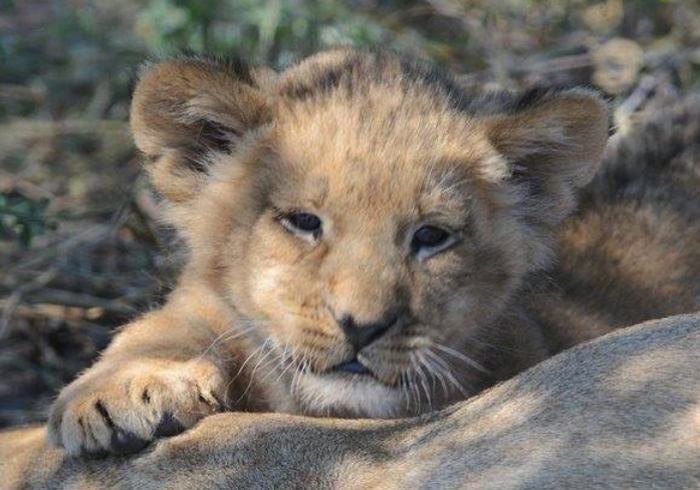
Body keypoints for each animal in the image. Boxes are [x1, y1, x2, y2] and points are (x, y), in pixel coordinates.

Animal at [18, 48, 700, 460]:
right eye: (303, 222)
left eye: (431, 236)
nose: (362, 327)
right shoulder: (206, 307)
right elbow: (165, 324)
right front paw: (123, 391)